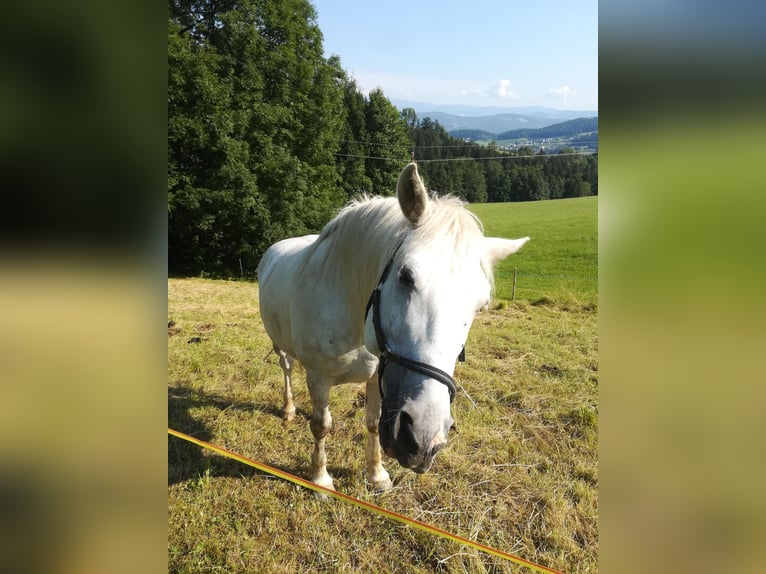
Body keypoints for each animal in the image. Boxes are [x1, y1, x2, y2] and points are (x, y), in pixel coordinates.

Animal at [258, 164, 528, 492]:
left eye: (482, 304)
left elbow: (373, 424)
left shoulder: (378, 377)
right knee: (286, 368)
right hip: (279, 345)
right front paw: (321, 479)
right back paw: (288, 410)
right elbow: (321, 426)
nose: (423, 441)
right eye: (406, 277)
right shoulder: (319, 378)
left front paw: (377, 475)